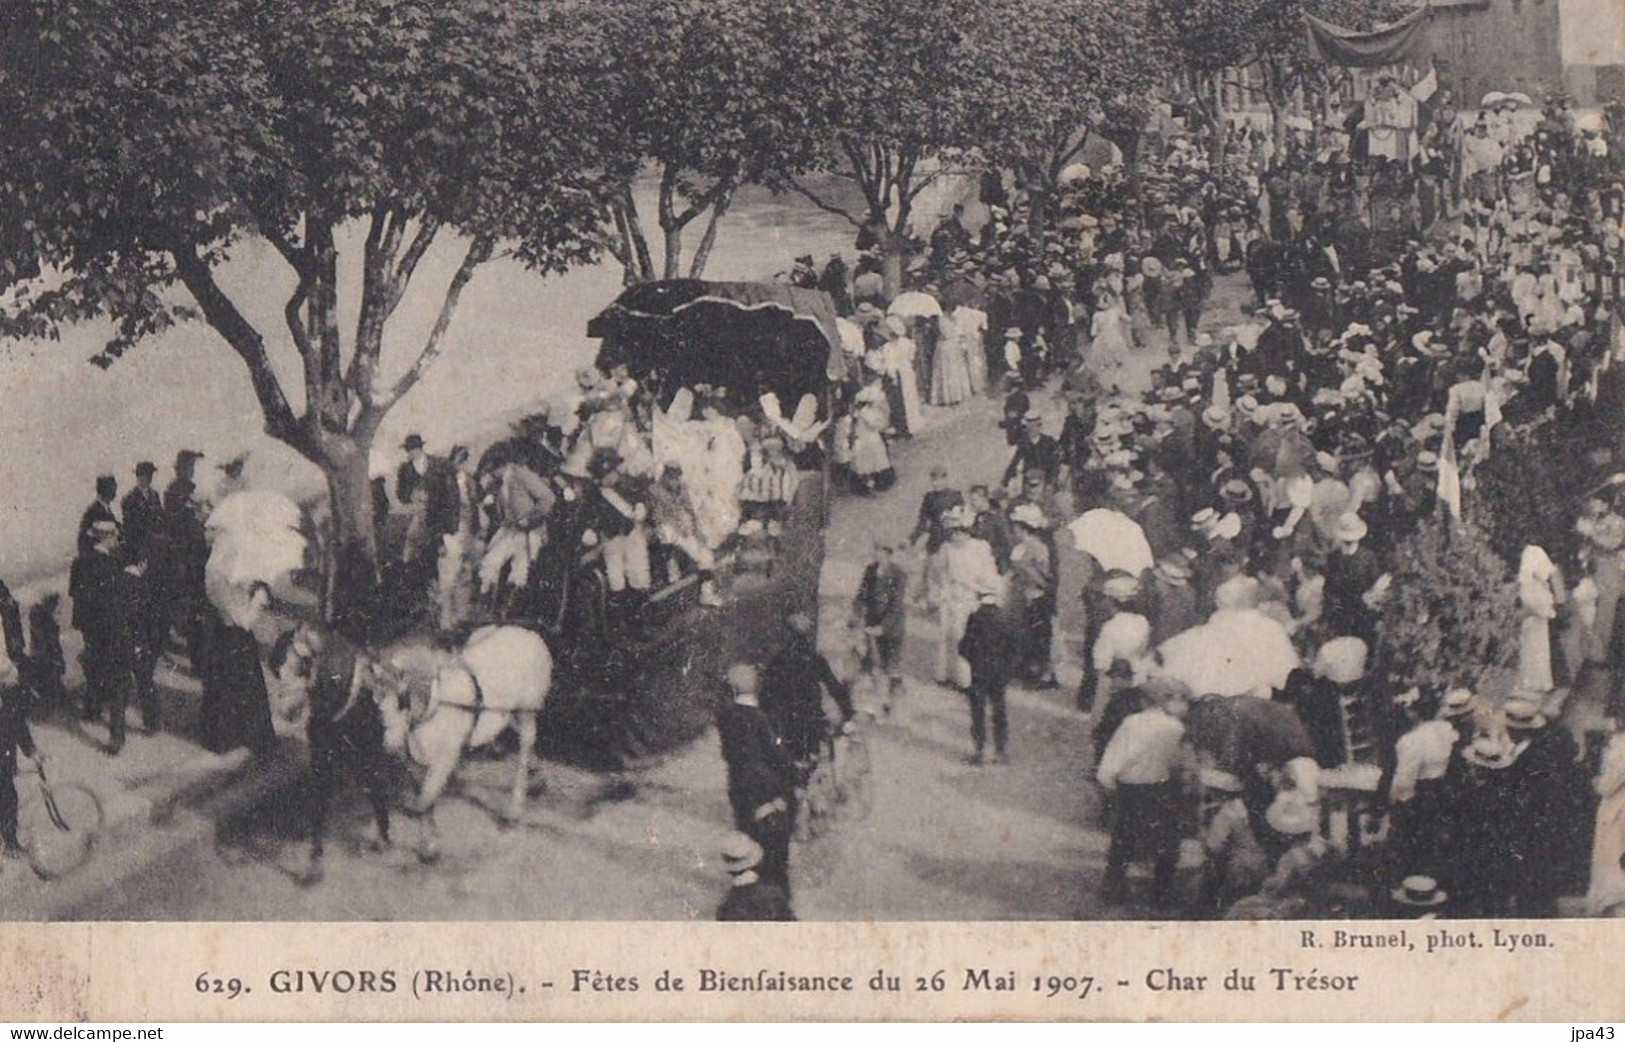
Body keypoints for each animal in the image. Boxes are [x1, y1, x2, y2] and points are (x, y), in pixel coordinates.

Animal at [377, 620, 555, 832]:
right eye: (378, 695)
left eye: (402, 700)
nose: (388, 746)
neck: (438, 703)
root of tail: (531, 635)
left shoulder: (445, 757)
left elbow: (425, 796)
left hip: (527, 711)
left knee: (525, 749)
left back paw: (514, 809)